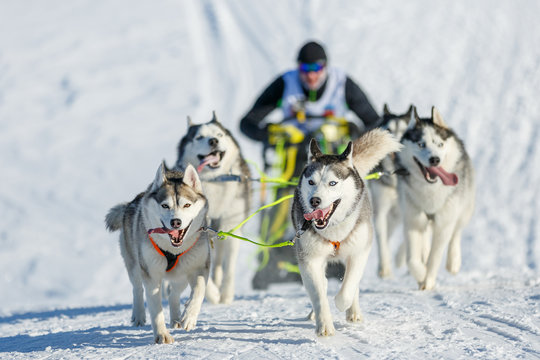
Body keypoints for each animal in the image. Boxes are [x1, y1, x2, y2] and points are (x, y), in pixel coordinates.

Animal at [104, 163, 210, 344]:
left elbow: (199, 291)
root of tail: (132, 202)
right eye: (165, 205)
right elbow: (155, 308)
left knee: (174, 294)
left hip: (181, 274)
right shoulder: (151, 274)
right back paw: (139, 316)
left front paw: (189, 316)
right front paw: (162, 335)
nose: (176, 222)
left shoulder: (199, 267)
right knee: (137, 289)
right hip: (134, 265)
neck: (173, 249)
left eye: (187, 205)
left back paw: (176, 319)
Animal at [177, 112, 253, 304]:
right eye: (199, 137)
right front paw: (213, 294)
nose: (213, 141)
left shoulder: (232, 227)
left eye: (219, 134)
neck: (215, 180)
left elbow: (229, 267)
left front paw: (226, 295)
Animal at [292, 130, 400, 338]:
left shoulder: (359, 252)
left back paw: (353, 311)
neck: (333, 229)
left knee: (353, 283)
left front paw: (343, 304)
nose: (314, 200)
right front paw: (324, 324)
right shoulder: (309, 259)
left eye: (332, 183)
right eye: (311, 182)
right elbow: (318, 293)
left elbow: (348, 287)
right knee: (323, 283)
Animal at [394, 106, 474, 290]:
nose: (435, 159)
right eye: (421, 144)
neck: (430, 190)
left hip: (464, 209)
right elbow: (412, 260)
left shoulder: (444, 224)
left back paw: (453, 262)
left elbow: (435, 257)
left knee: (456, 233)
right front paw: (421, 275)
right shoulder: (412, 222)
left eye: (440, 144)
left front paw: (428, 280)